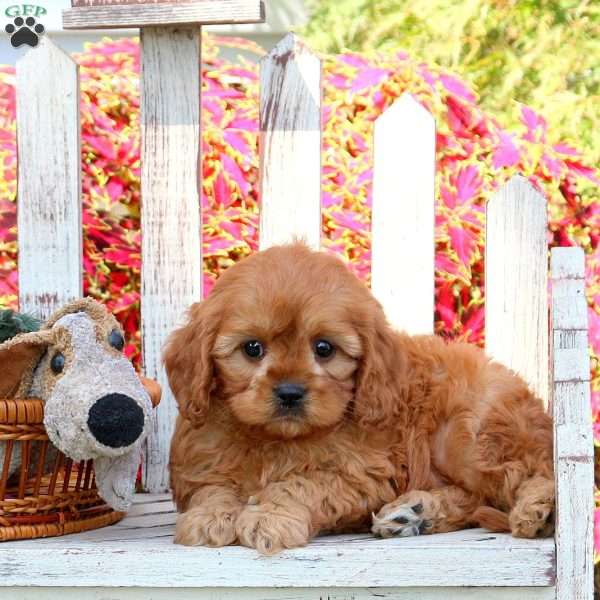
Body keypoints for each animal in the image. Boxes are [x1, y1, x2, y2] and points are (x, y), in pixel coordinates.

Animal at [164, 241, 552, 556]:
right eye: (252, 348)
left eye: (324, 348)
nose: (290, 392)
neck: (275, 439)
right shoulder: (200, 459)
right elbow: (211, 487)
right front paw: (211, 515)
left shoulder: (361, 474)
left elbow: (301, 484)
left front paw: (270, 518)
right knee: (476, 497)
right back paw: (415, 514)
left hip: (468, 437)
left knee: (531, 471)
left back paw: (540, 509)